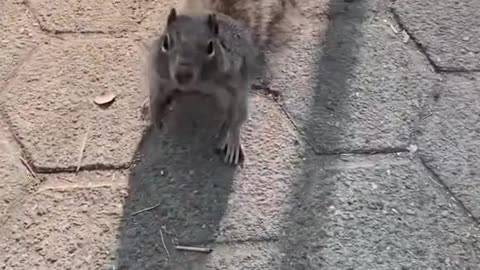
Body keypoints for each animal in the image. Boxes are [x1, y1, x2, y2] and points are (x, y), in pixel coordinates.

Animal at [146, 7, 264, 165]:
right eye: (165, 42)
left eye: (210, 47)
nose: (183, 74)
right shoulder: (157, 73)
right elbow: (155, 95)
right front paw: (155, 115)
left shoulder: (237, 83)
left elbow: (238, 116)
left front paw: (233, 139)